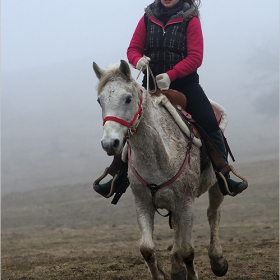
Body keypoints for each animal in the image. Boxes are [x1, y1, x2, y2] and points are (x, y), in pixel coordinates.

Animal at [93, 60, 229, 278]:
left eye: (128, 98)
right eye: (100, 101)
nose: (109, 143)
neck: (159, 156)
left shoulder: (186, 203)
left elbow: (187, 250)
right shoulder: (143, 203)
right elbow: (147, 249)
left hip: (216, 184)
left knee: (213, 214)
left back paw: (217, 261)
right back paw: (176, 269)